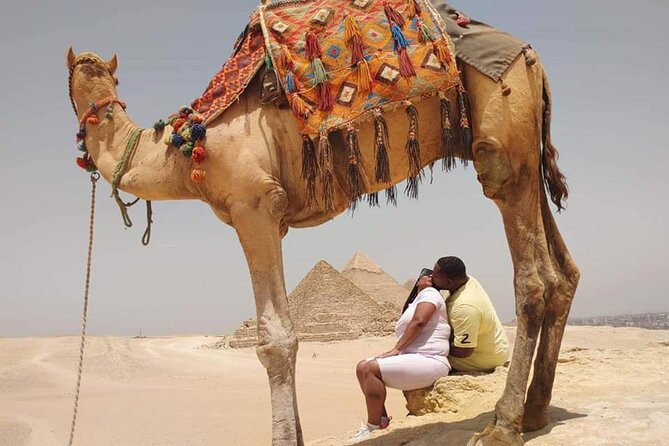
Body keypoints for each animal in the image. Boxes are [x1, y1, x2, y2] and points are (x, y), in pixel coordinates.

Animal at [65, 2, 579, 444]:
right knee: (564, 273)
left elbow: (275, 338)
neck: (190, 146)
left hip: (502, 141)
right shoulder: (274, 219)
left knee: (534, 277)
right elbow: (286, 331)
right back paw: (536, 412)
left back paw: (503, 426)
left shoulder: (254, 205)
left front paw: (283, 439)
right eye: (77, 82)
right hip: (528, 157)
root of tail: (531, 59)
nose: (93, 112)